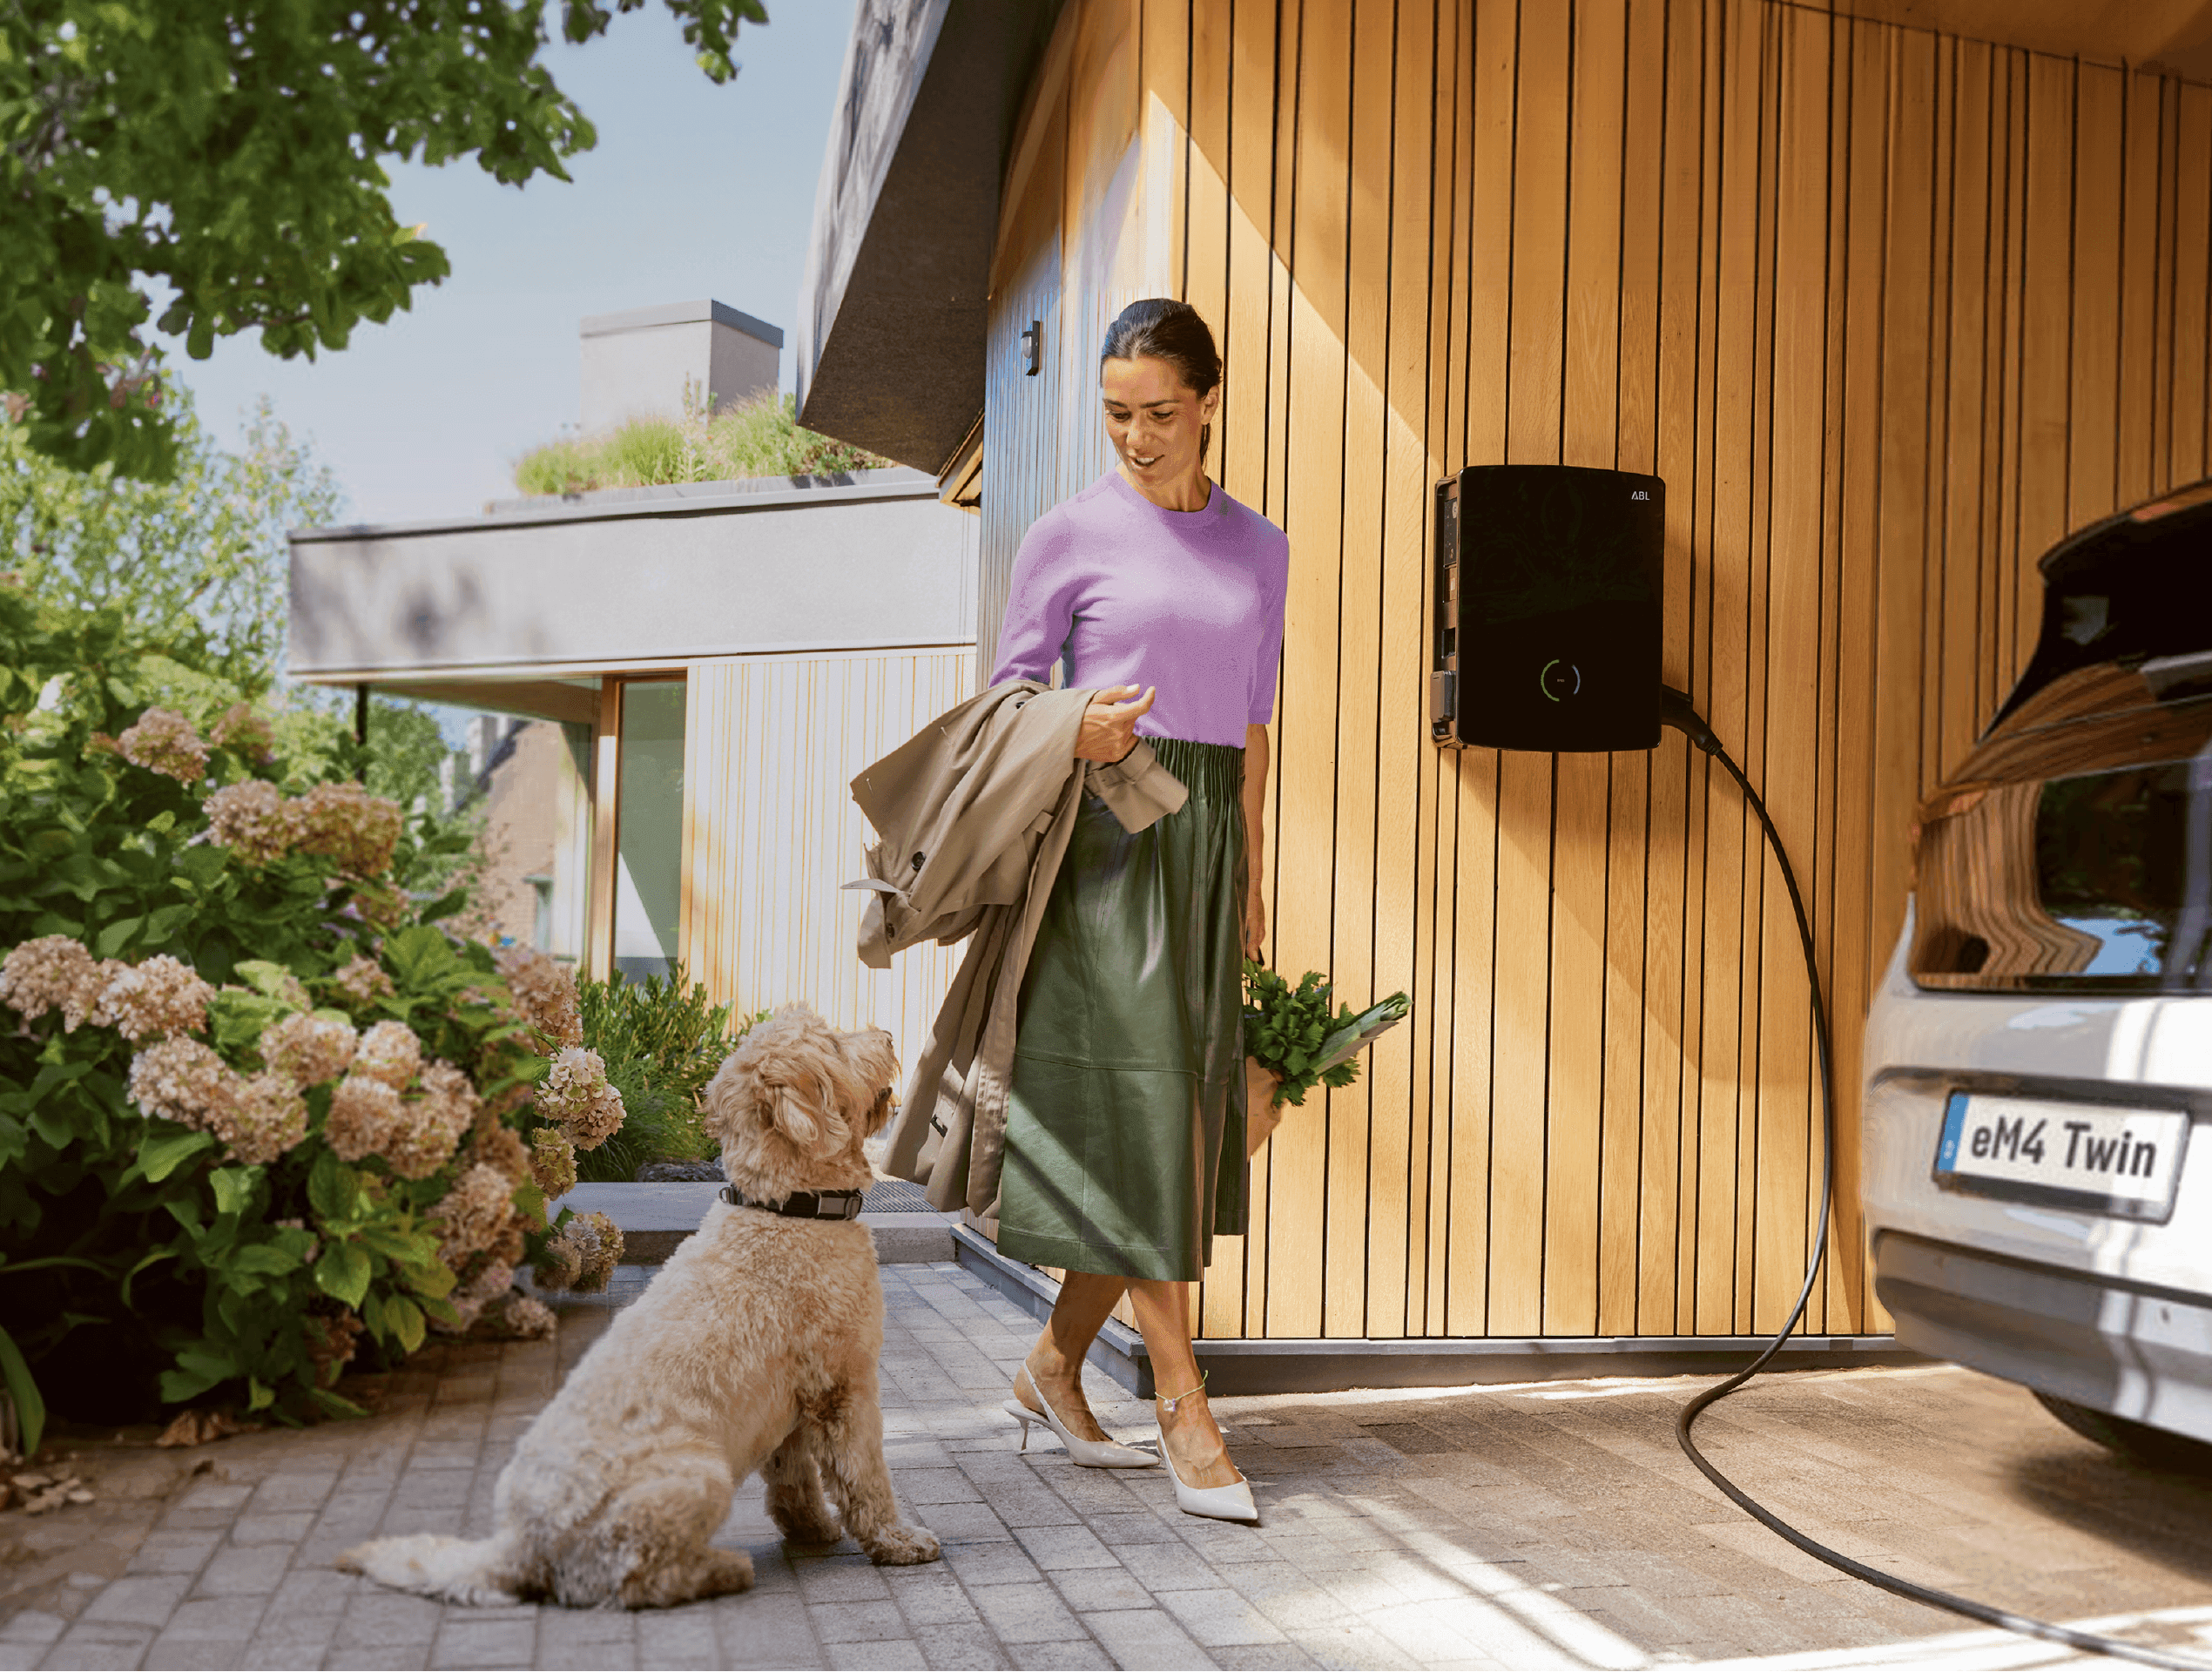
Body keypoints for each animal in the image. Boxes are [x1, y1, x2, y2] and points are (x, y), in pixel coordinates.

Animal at [338, 1004, 942, 1609]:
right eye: (834, 1044)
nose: (888, 1035)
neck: (786, 1210)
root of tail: (521, 1545)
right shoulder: (845, 1384)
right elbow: (864, 1475)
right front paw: (898, 1540)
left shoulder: (790, 1397)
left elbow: (794, 1476)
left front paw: (812, 1529)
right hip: (700, 1476)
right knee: (632, 1580)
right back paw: (723, 1569)